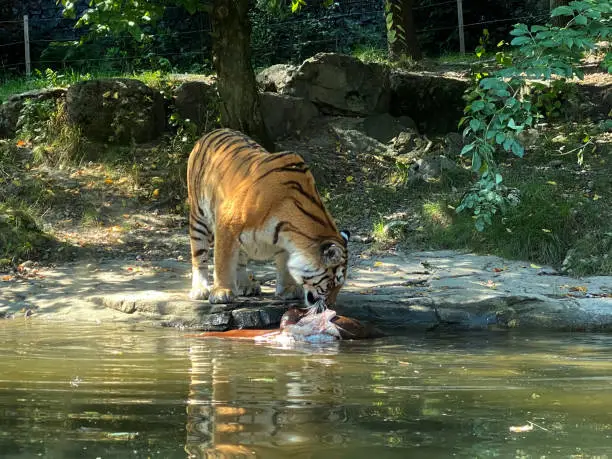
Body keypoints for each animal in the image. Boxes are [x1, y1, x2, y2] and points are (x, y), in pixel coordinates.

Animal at [185, 127, 350, 310]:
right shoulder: (226, 225)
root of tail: (213, 132)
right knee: (199, 255)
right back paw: (200, 289)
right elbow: (223, 262)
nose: (331, 305)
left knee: (240, 261)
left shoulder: (285, 240)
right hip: (199, 217)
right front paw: (222, 292)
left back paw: (246, 285)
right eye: (333, 283)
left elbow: (284, 266)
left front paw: (288, 289)